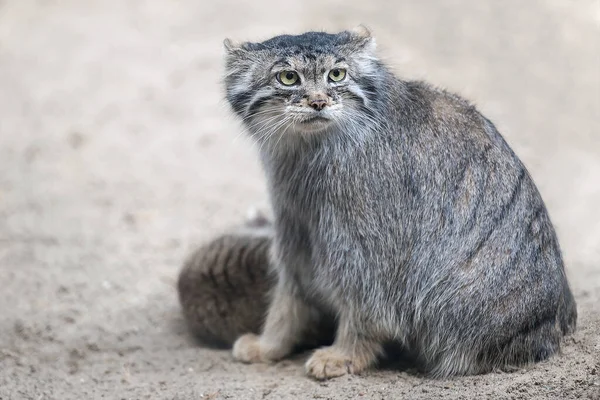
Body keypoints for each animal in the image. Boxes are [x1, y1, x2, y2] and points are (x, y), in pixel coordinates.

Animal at [220, 26, 576, 380]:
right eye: (288, 78)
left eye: (337, 74)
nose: (319, 101)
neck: (312, 152)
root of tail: (549, 332)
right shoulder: (295, 221)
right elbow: (290, 291)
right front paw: (269, 344)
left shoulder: (366, 239)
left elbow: (367, 298)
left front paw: (346, 354)